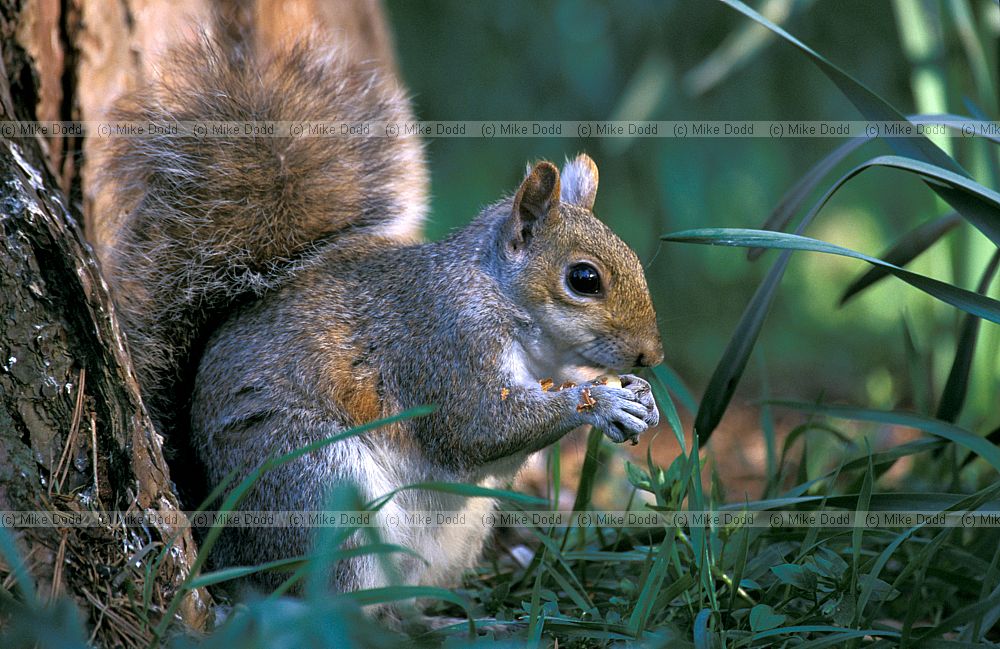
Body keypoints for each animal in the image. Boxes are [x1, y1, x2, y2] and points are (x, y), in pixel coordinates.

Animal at [101, 29, 664, 607]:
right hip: (312, 482)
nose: (652, 354)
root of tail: (220, 540)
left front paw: (640, 397)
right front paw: (600, 402)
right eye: (584, 279)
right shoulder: (442, 343)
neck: (500, 298)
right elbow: (478, 427)